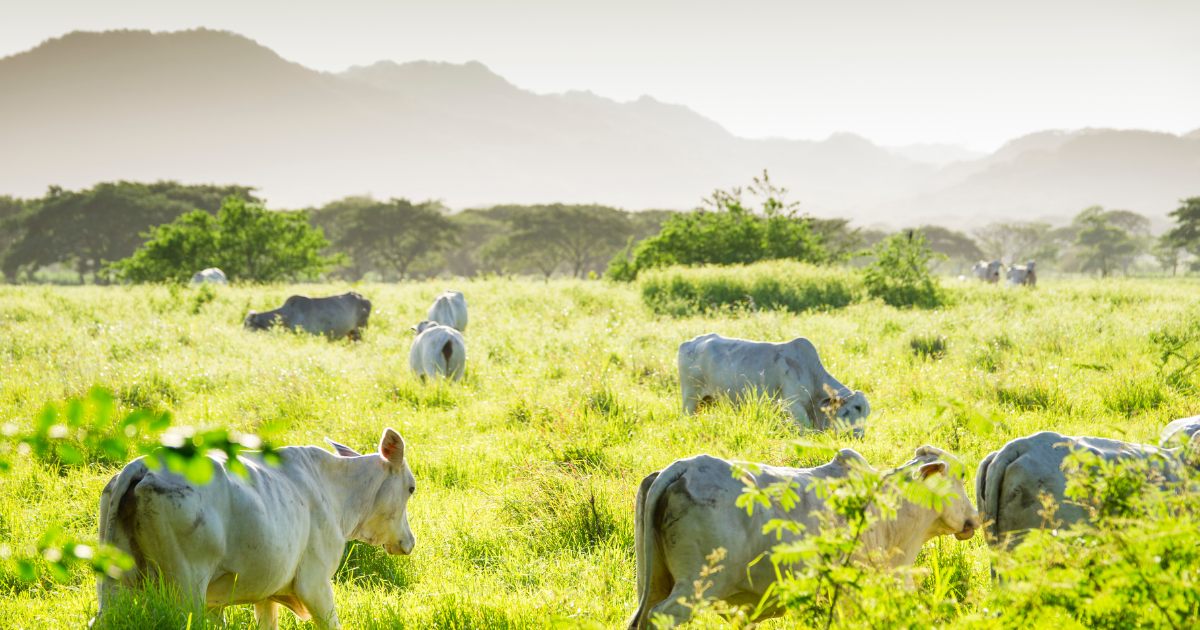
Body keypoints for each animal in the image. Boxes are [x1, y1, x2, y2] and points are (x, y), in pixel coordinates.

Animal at [96, 427, 420, 628]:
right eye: (411, 488)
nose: (409, 541)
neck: (334, 490)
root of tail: (143, 466)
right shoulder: (315, 584)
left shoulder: (266, 594)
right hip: (186, 586)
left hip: (115, 585)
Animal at [624, 444, 979, 624]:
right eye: (961, 475)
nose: (974, 519)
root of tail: (685, 465)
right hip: (698, 586)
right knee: (663, 616)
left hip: (652, 582)